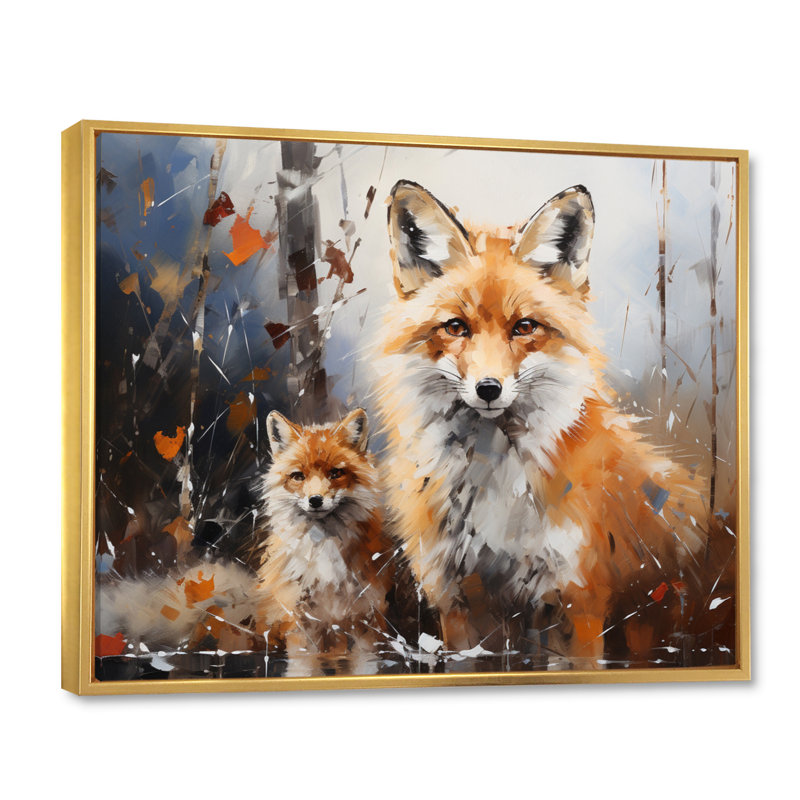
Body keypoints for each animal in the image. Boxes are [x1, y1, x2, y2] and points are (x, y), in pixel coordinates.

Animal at [255, 407, 399, 676]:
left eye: (335, 473)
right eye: (298, 476)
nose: (315, 500)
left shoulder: (365, 618)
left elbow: (364, 667)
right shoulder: (300, 621)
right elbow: (302, 668)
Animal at [373, 179, 710, 667]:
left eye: (524, 327)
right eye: (456, 327)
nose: (488, 388)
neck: (492, 482)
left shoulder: (577, 597)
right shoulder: (456, 599)